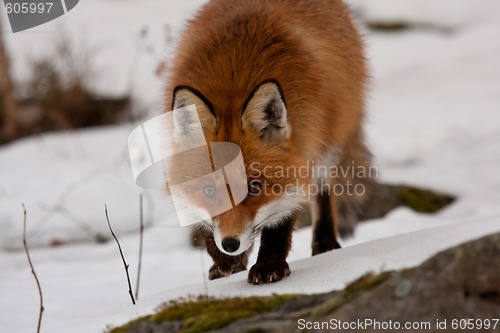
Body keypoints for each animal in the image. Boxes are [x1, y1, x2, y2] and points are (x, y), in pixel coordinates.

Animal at [166, 0, 374, 282]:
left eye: (254, 188)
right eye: (209, 190)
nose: (230, 243)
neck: (234, 78)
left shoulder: (303, 151)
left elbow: (280, 223)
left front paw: (269, 265)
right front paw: (224, 261)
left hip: (328, 145)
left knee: (323, 194)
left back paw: (325, 243)